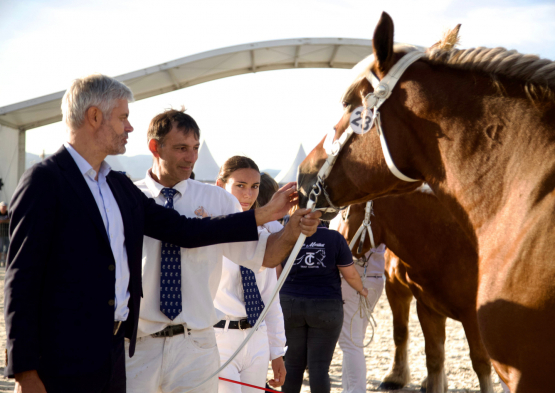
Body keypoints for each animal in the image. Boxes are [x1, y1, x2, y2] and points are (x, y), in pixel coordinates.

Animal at [334, 191, 496, 390]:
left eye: (346, 215)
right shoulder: (417, 301)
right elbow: (417, 345)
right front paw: (396, 376)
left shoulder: (472, 317)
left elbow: (481, 362)